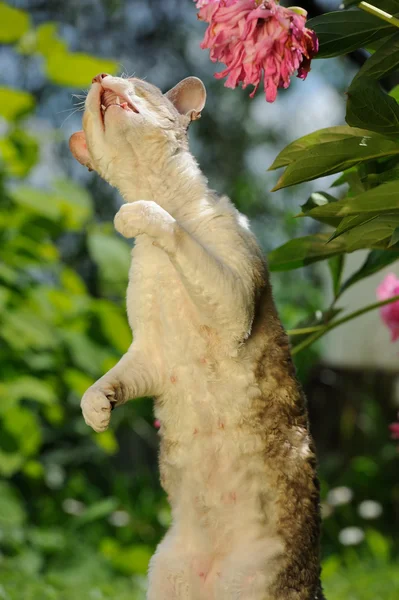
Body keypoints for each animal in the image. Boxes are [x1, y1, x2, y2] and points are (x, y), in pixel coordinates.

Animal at [69, 74, 324, 600]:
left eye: (136, 82)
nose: (99, 78)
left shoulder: (233, 305)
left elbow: (173, 229)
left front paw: (136, 215)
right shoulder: (151, 356)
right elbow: (106, 382)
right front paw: (97, 409)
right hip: (165, 574)